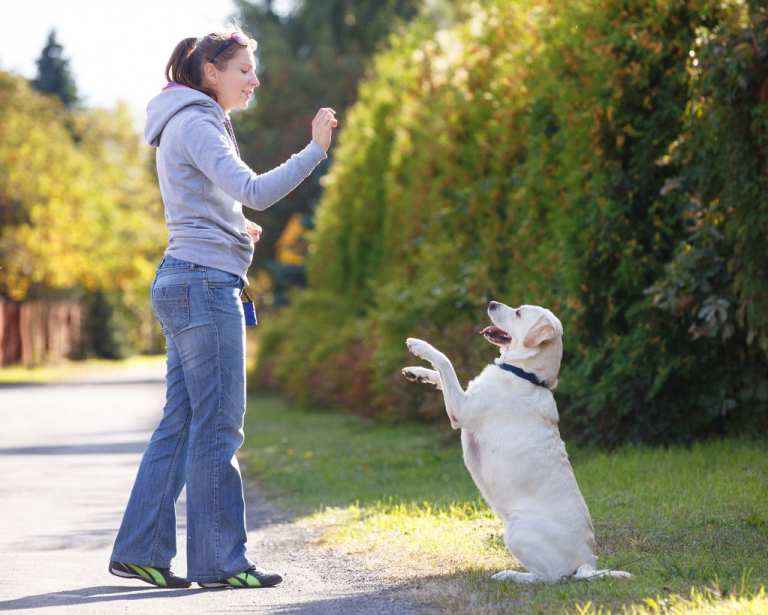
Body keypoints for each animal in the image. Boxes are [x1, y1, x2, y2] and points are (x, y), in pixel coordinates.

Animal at [402, 300, 632, 584]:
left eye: (519, 312)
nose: (492, 303)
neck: (524, 374)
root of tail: (588, 562)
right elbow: (441, 376)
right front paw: (417, 372)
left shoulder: (461, 410)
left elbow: (446, 363)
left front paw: (419, 345)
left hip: (517, 531)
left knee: (551, 578)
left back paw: (511, 575)